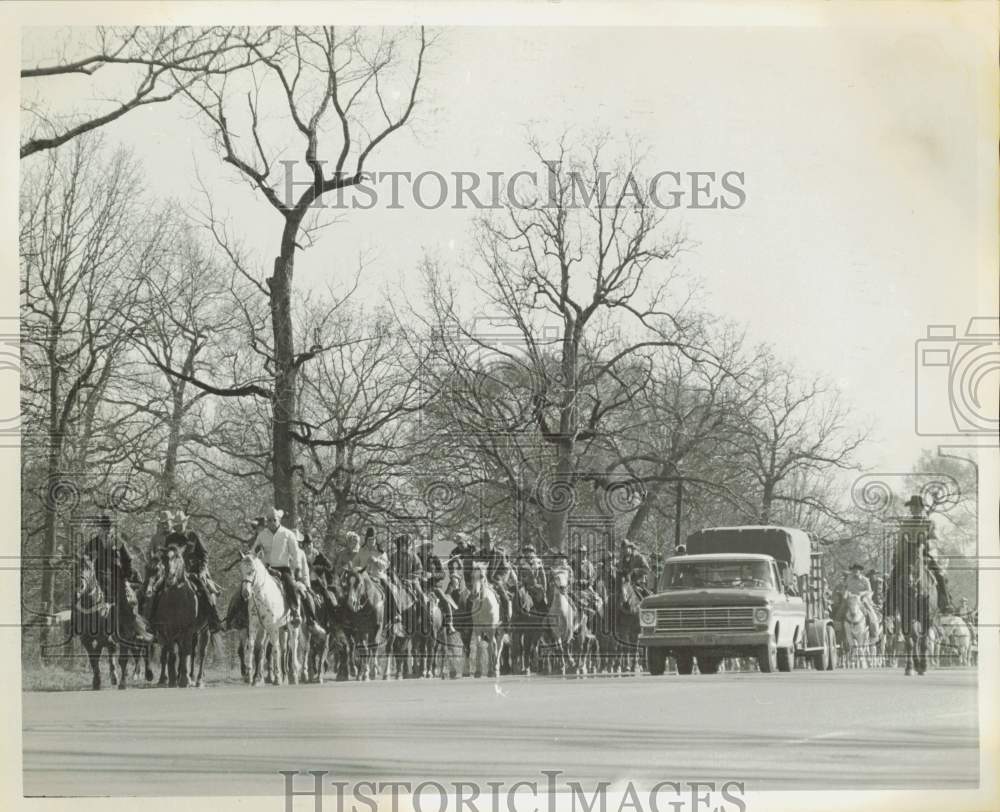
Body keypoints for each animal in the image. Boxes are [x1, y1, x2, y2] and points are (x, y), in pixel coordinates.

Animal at [239, 552, 298, 684]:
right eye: (241, 570)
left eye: (252, 570)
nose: (245, 593)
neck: (262, 596)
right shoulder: (254, 625)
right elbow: (252, 646)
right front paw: (250, 676)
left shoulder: (272, 627)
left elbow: (275, 649)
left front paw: (277, 677)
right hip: (281, 628)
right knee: (283, 649)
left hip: (292, 627)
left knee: (292, 646)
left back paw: (293, 675)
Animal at [888, 536, 940, 676]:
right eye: (904, 555)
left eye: (917, 557)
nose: (907, 580)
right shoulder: (906, 618)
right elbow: (910, 642)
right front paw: (910, 667)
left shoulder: (927, 618)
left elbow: (924, 641)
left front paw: (924, 666)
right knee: (915, 639)